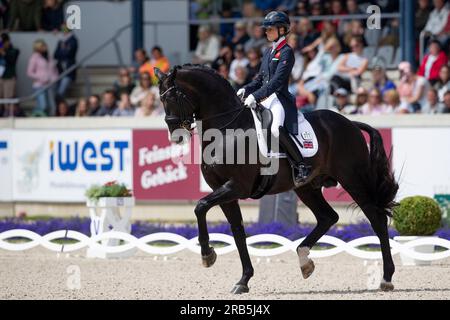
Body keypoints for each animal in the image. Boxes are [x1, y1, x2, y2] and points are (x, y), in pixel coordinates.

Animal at [154, 64, 398, 296]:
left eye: (172, 97)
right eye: (161, 99)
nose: (176, 135)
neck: (227, 130)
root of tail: (351, 123)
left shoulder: (236, 187)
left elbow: (201, 206)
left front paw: (207, 255)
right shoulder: (224, 191)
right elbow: (237, 231)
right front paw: (243, 280)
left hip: (352, 179)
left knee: (376, 219)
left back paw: (386, 278)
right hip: (307, 188)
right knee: (328, 217)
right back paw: (305, 261)